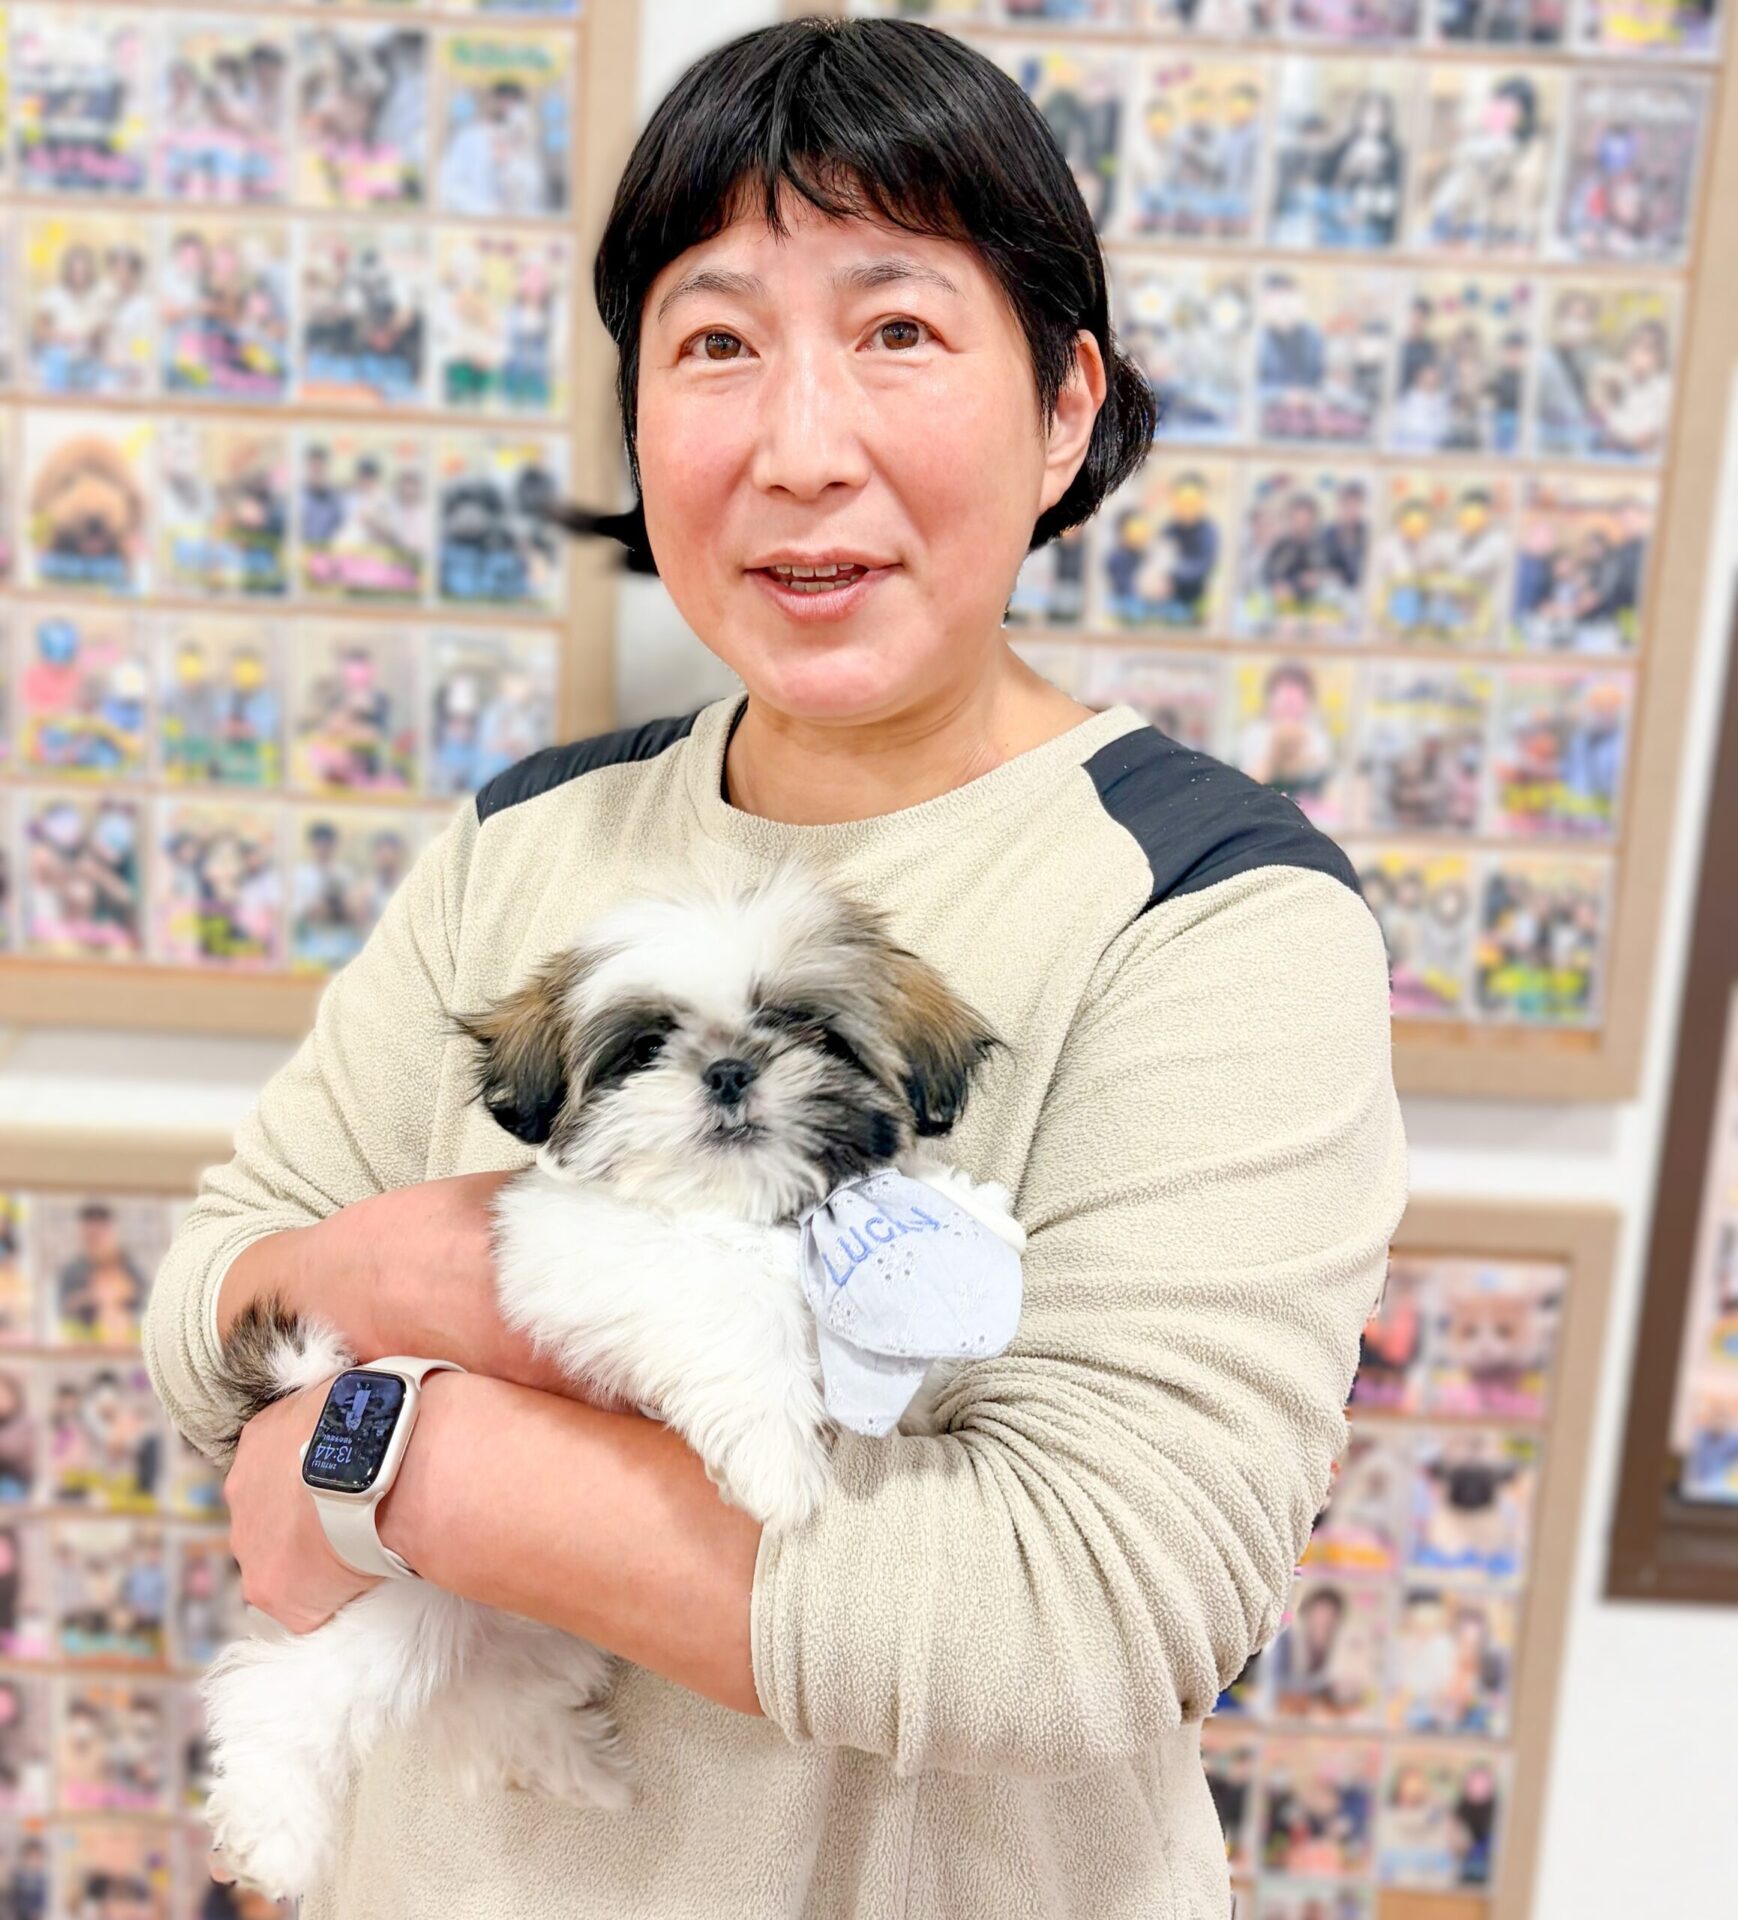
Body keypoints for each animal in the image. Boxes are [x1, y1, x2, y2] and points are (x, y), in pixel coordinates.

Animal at [198, 860, 1024, 1899]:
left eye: (814, 1034)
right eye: (646, 1047)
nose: (729, 1070)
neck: (745, 1212)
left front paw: (971, 1222)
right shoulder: (570, 1257)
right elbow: (723, 1307)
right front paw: (777, 1464)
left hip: (525, 1619)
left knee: (486, 1700)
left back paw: (571, 1766)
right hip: (390, 1605)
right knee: (283, 1690)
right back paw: (273, 1826)